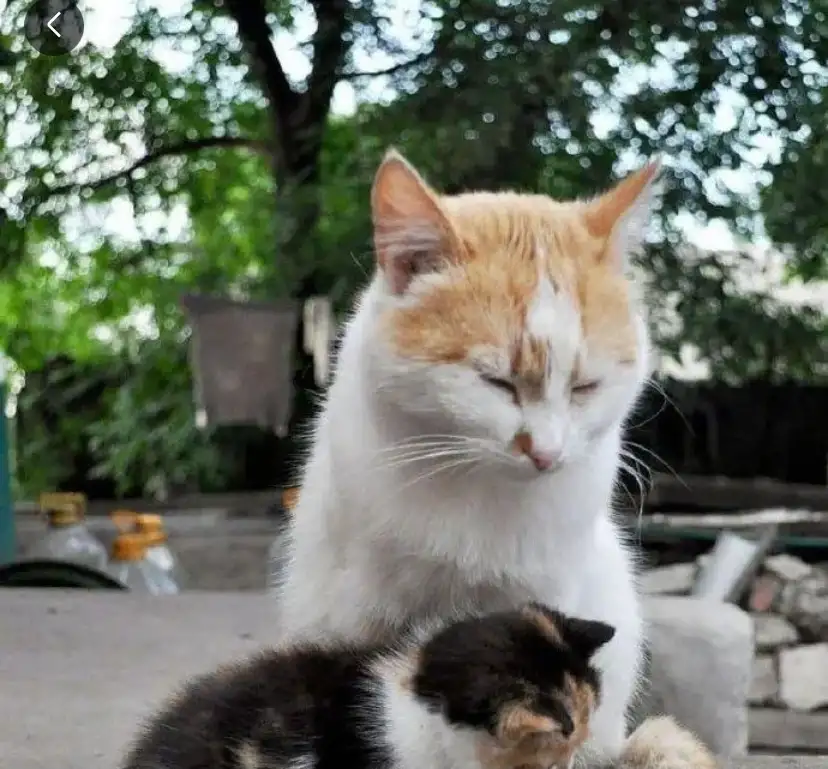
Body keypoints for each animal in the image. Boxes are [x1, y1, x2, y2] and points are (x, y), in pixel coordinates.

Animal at [274, 150, 716, 768]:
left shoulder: (543, 604)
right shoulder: (361, 613)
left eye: (586, 387)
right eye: (496, 382)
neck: (477, 491)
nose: (546, 452)